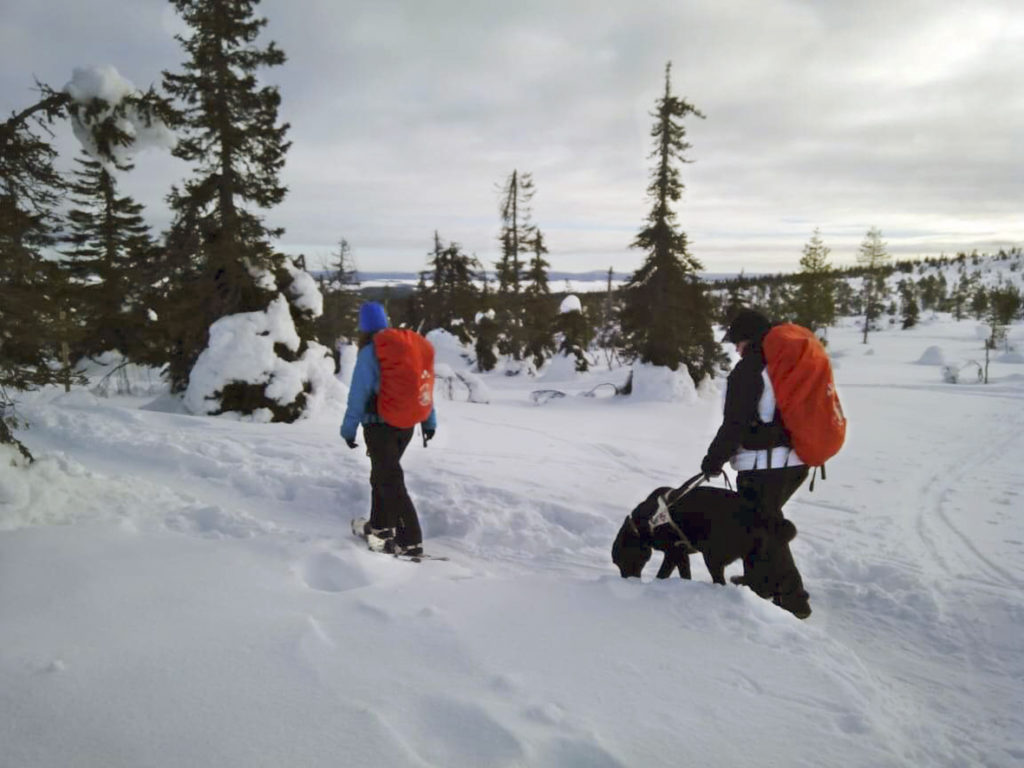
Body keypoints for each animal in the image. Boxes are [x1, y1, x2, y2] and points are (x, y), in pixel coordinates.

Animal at [610, 487, 811, 618]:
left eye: (623, 560)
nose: (626, 581)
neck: (647, 521)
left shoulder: (674, 552)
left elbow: (663, 574)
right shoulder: (681, 554)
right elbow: (684, 574)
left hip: (716, 556)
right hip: (758, 561)